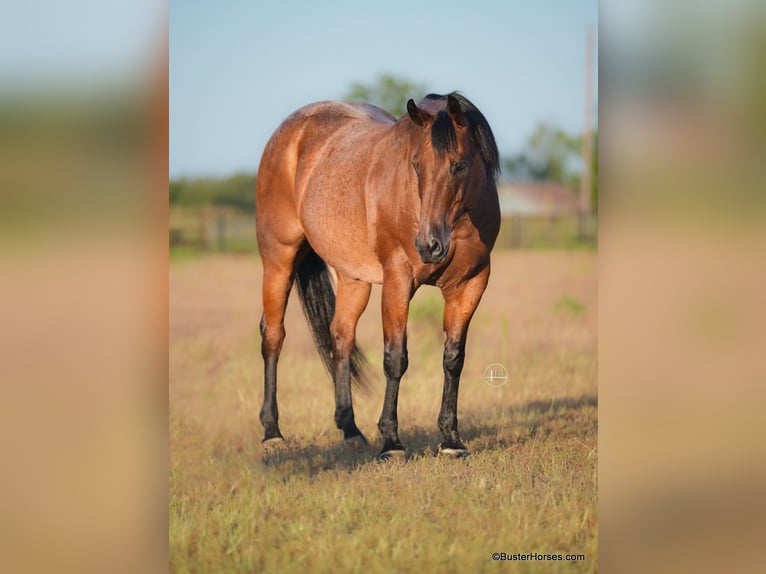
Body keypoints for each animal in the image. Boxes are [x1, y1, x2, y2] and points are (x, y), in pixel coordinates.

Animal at [255, 92, 500, 462]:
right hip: (278, 260)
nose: (429, 245)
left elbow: (453, 358)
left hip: (353, 279)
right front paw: (392, 442)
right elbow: (396, 358)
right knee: (273, 336)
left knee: (340, 337)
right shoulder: (398, 280)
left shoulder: (470, 285)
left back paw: (351, 430)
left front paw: (451, 439)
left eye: (459, 165)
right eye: (416, 165)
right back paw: (272, 433)